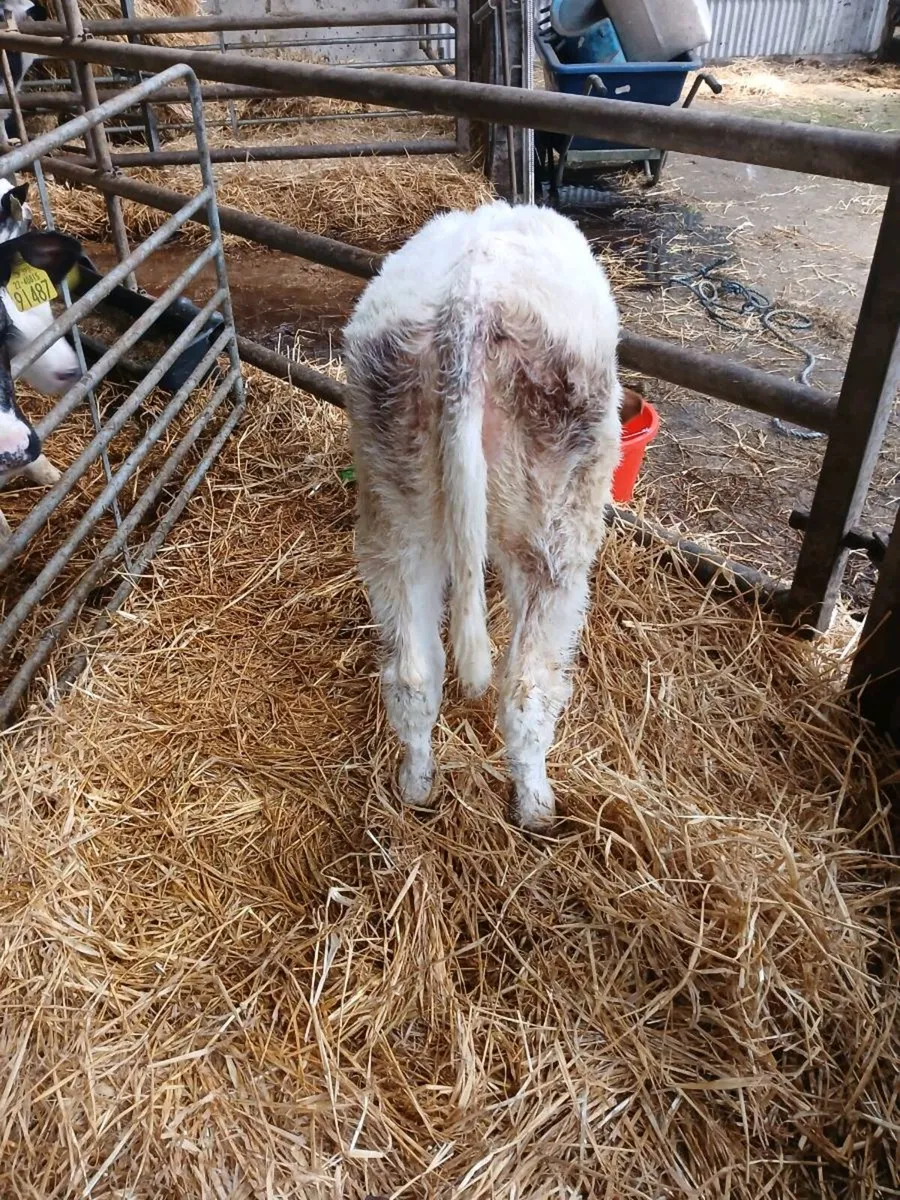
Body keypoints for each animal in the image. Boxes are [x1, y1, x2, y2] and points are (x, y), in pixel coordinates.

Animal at [343, 201, 641, 830]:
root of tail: (468, 302)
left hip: (396, 516)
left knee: (414, 674)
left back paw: (417, 787)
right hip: (555, 531)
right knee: (526, 687)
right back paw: (536, 806)